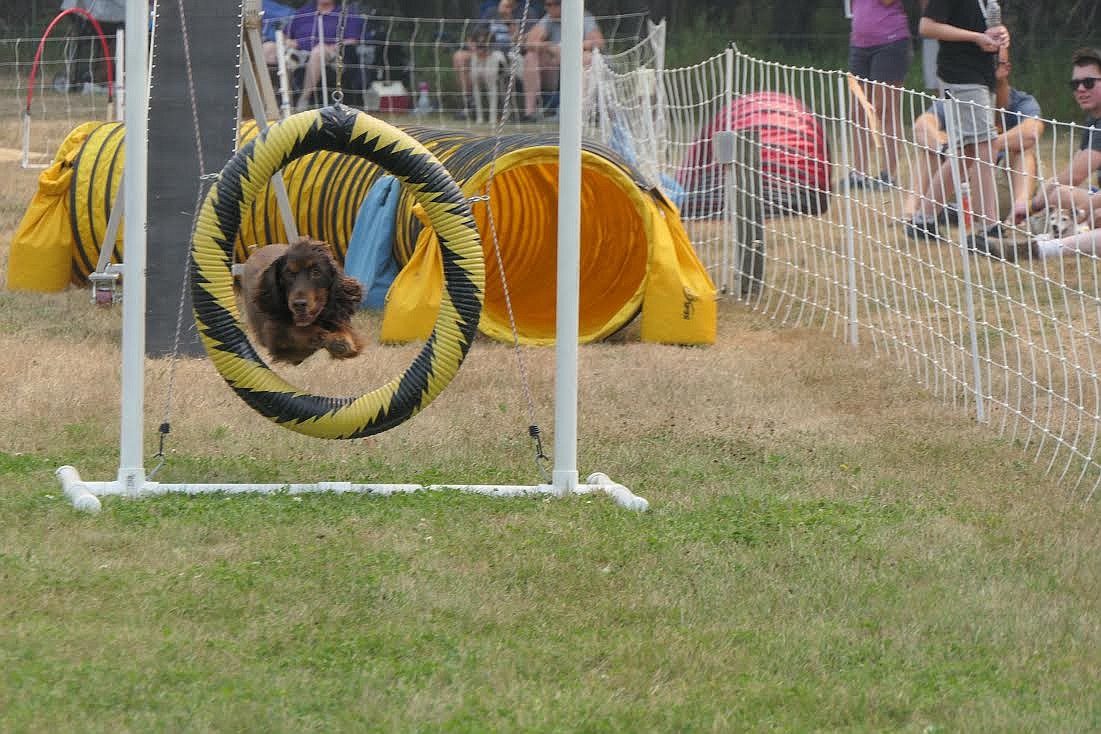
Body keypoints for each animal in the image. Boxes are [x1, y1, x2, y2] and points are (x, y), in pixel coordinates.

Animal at [237, 239, 365, 365]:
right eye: (288, 274)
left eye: (316, 272)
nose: (298, 304)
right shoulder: (276, 338)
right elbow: (296, 331)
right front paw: (328, 339)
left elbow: (344, 329)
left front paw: (341, 340)